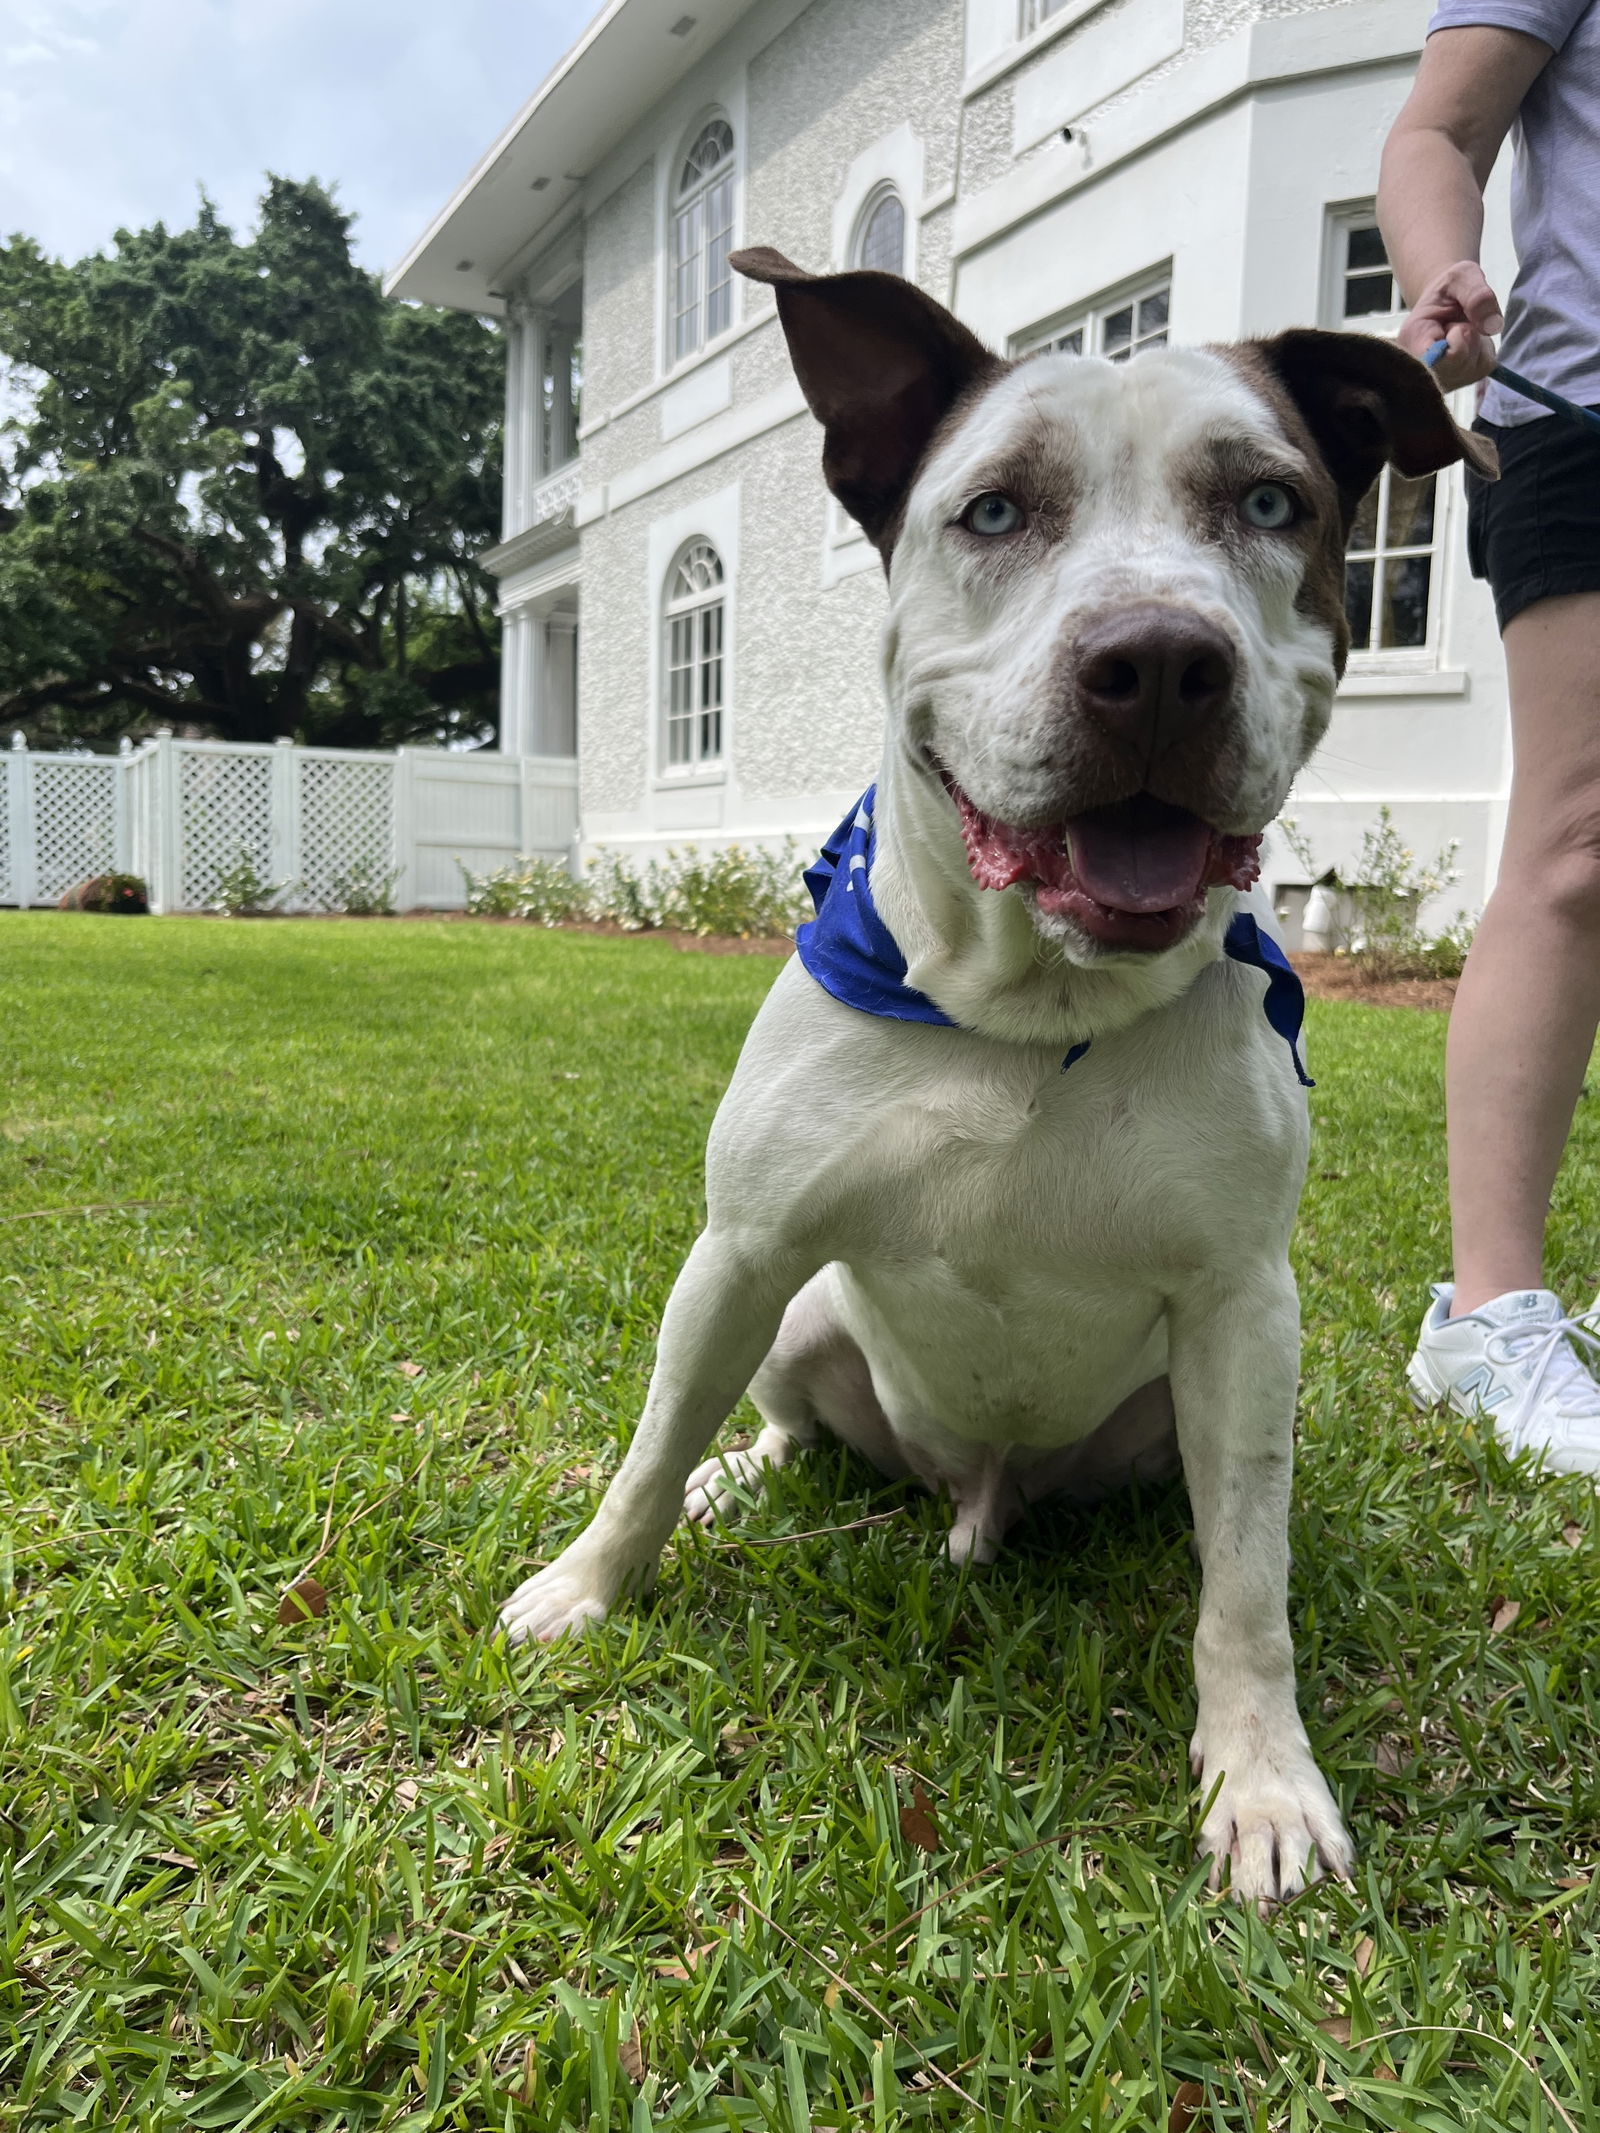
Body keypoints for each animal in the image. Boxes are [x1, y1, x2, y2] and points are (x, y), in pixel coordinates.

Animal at [503, 253, 1501, 1919]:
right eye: (992, 511)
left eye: (1272, 502)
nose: (1158, 661)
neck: (1032, 1012)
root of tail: (976, 1486)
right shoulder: (741, 1250)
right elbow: (644, 1451)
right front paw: (589, 1585)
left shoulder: (1244, 1305)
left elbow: (1249, 1589)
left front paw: (1262, 1779)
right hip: (799, 1312)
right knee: (771, 1424)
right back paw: (741, 1480)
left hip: (1198, 1393)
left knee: (1218, 1515)